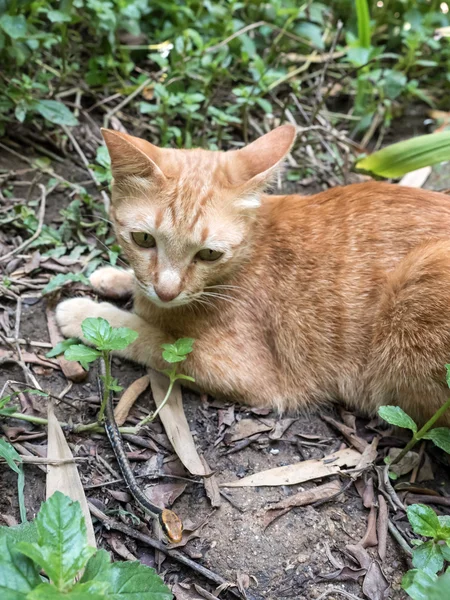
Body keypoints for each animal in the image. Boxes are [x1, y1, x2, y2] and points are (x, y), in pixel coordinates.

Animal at [55, 125, 450, 426]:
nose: (167, 291)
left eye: (209, 254)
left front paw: (85, 313)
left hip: (422, 274)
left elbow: (149, 337)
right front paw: (113, 276)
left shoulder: (242, 373)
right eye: (143, 239)